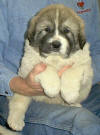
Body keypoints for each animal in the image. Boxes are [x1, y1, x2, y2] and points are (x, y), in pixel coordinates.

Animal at [6, 4, 93, 132]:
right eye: (46, 29)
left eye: (66, 30)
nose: (56, 44)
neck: (55, 59)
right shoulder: (28, 65)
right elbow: (45, 67)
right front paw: (53, 88)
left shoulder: (85, 67)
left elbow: (71, 70)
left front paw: (70, 94)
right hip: (23, 90)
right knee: (18, 104)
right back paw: (15, 122)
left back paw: (73, 104)